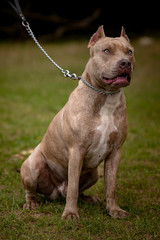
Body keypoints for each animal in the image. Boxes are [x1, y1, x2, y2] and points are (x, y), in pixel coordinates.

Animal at [20, 26, 135, 219]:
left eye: (130, 51)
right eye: (107, 51)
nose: (126, 63)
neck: (106, 96)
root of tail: (57, 192)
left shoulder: (115, 152)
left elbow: (110, 186)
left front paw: (113, 210)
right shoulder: (77, 150)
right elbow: (73, 186)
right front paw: (71, 214)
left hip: (93, 174)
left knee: (79, 190)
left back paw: (88, 199)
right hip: (32, 165)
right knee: (35, 190)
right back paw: (31, 203)